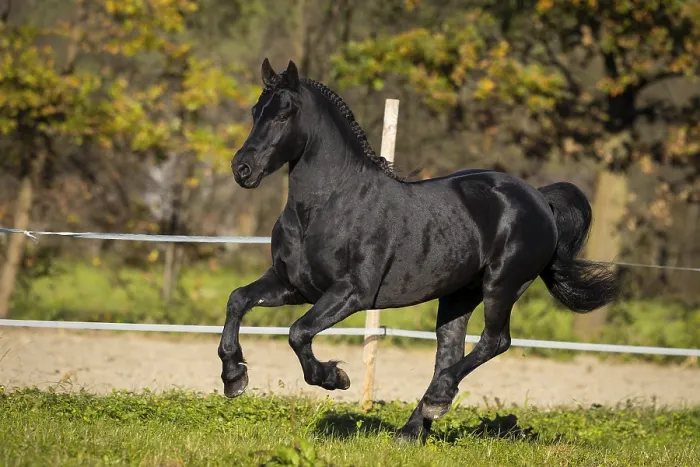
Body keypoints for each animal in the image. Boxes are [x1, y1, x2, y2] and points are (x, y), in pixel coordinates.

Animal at [218, 58, 618, 442]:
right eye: (255, 111)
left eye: (284, 114)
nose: (242, 169)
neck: (326, 207)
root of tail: (539, 198)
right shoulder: (293, 286)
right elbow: (238, 299)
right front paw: (234, 378)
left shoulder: (352, 293)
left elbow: (298, 332)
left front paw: (334, 377)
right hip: (459, 294)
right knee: (449, 353)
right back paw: (415, 427)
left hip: (502, 284)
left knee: (494, 341)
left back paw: (436, 402)